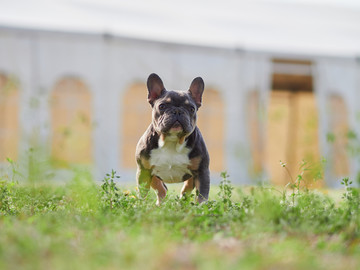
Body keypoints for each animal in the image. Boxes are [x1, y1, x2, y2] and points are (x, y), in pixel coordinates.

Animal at [136, 74, 211, 205]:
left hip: (192, 178)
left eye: (191, 108)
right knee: (161, 189)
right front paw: (140, 206)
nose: (177, 111)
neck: (172, 141)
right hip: (152, 176)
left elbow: (202, 194)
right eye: (162, 106)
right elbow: (143, 193)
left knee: (185, 190)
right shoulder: (144, 171)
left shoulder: (202, 172)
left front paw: (202, 207)